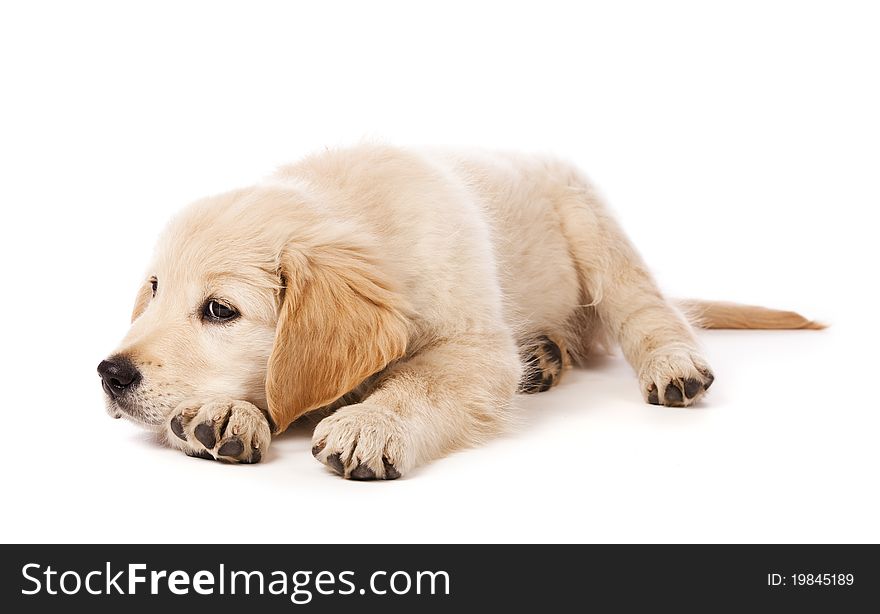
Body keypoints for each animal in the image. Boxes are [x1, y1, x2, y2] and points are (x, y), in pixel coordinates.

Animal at [96, 146, 820, 482]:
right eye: (154, 289)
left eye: (220, 310)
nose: (110, 373)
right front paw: (226, 414)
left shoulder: (475, 347)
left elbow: (420, 381)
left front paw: (371, 424)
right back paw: (546, 356)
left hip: (590, 221)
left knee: (644, 304)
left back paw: (671, 361)